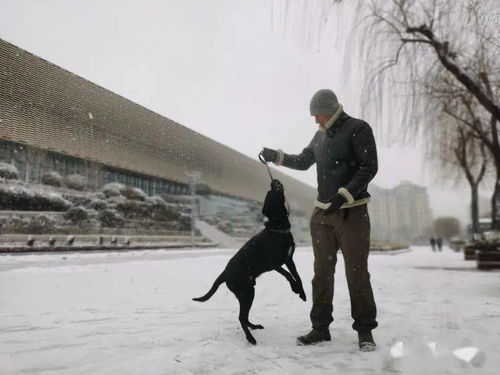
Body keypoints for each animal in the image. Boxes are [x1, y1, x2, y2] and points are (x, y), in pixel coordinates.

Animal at [193, 179, 306, 346]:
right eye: (271, 193)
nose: (274, 181)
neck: (278, 229)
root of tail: (225, 273)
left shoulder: (289, 259)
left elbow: (297, 276)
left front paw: (302, 293)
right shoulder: (274, 263)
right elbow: (288, 275)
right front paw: (295, 288)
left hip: (248, 292)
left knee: (244, 317)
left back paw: (253, 327)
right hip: (246, 292)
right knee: (241, 317)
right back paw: (250, 338)